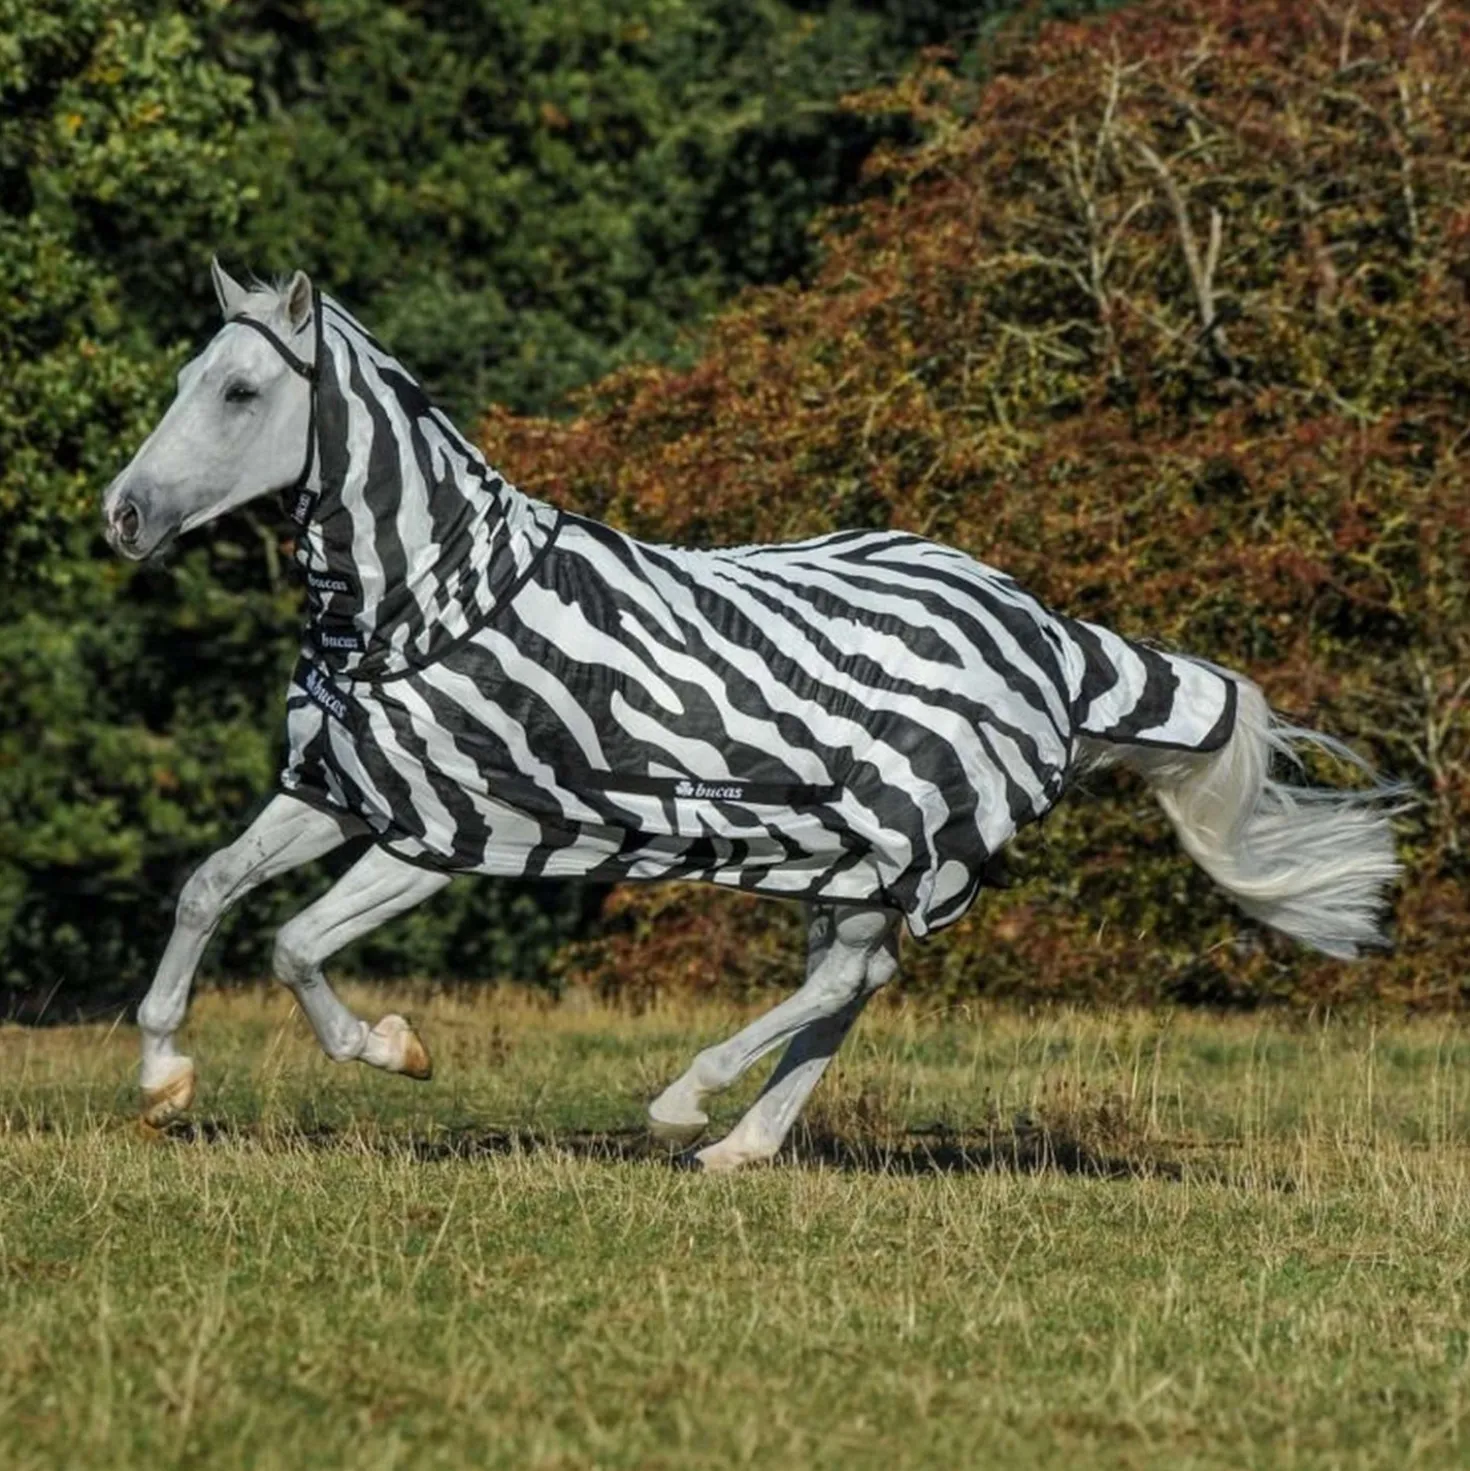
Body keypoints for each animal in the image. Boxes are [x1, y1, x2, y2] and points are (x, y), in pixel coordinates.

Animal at [100, 262, 1402, 1171]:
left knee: (846, 979)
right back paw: (741, 1144)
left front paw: (394, 1048)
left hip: (903, 838)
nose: (123, 515)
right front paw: (164, 1077)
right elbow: (209, 891)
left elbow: (293, 942)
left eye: (241, 390)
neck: (425, 597)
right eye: (180, 380)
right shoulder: (337, 791)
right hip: (853, 854)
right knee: (856, 981)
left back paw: (686, 1105)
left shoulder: (449, 829)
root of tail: (1054, 635)